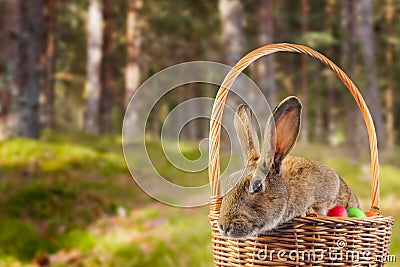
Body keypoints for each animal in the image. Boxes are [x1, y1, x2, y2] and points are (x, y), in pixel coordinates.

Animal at [217, 97, 360, 240]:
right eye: (229, 182)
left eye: (257, 186)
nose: (224, 226)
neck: (288, 190)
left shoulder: (328, 189)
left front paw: (310, 212)